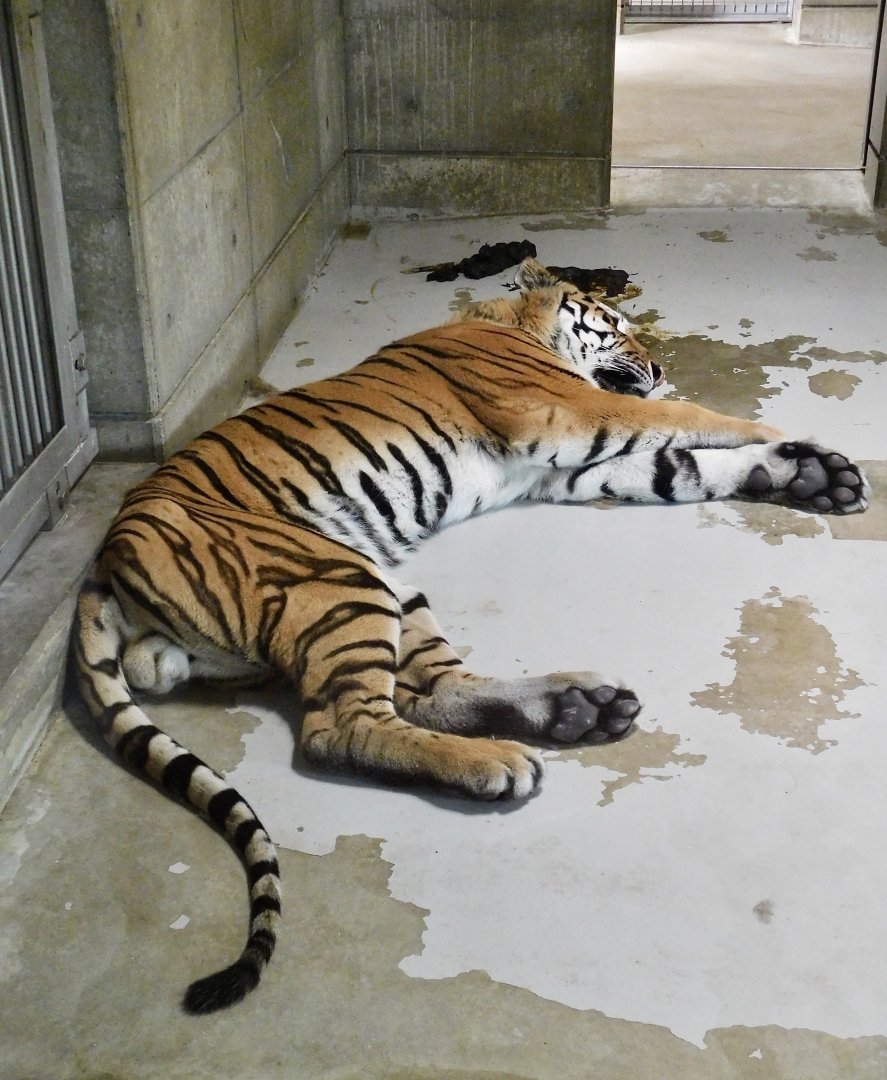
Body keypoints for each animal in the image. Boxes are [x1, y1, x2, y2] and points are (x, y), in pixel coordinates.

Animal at [72, 256, 869, 1015]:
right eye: (616, 324)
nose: (659, 364)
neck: (514, 325)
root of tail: (106, 559)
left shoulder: (570, 470)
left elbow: (682, 464)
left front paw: (807, 477)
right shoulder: (568, 412)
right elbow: (692, 418)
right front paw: (785, 438)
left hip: (387, 587)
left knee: (430, 692)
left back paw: (572, 709)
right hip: (338, 577)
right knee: (340, 728)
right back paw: (499, 763)